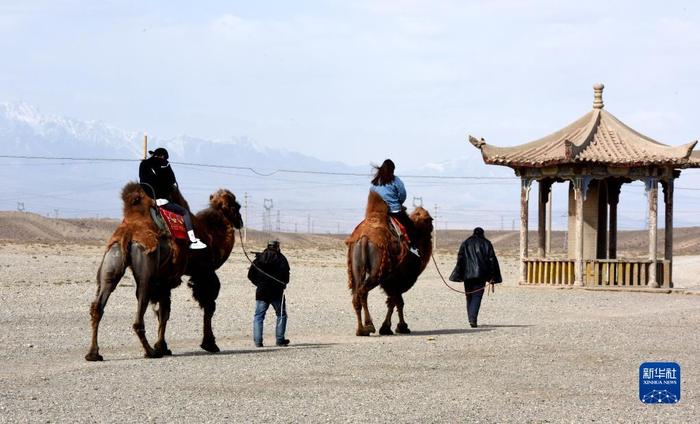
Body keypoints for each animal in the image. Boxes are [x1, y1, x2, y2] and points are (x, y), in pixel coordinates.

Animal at [87, 182, 243, 362]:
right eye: (236, 206)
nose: (240, 221)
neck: (212, 235)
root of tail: (128, 233)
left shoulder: (164, 281)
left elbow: (163, 312)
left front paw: (163, 346)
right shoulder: (204, 272)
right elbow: (208, 306)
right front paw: (209, 344)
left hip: (112, 258)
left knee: (99, 305)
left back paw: (93, 354)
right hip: (145, 272)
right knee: (139, 314)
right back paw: (149, 352)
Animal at [346, 190, 432, 336]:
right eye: (430, 219)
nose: (432, 229)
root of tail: (365, 238)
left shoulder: (390, 281)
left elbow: (393, 301)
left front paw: (388, 327)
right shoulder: (397, 279)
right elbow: (397, 301)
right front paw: (399, 327)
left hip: (357, 267)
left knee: (356, 294)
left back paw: (361, 329)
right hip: (378, 271)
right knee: (363, 291)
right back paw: (369, 325)